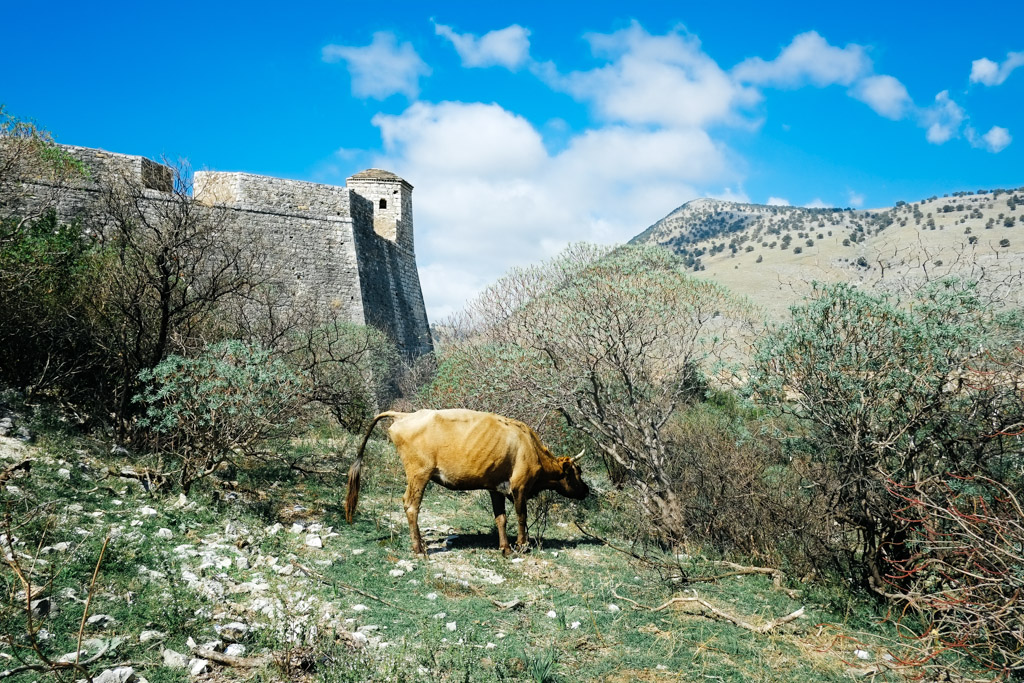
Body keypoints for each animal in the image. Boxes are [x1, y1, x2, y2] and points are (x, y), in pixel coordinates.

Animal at [344, 411, 589, 557]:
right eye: (577, 471)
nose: (586, 490)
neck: (530, 447)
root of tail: (405, 414)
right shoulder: (519, 487)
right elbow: (521, 517)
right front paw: (522, 545)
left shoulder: (495, 488)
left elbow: (501, 518)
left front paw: (505, 548)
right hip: (419, 474)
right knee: (411, 505)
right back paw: (419, 548)